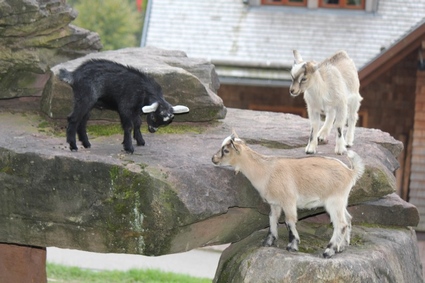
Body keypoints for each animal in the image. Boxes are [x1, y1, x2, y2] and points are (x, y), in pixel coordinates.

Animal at [58, 58, 189, 154]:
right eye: (153, 117)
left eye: (166, 122)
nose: (152, 130)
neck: (143, 90)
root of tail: (74, 75)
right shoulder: (125, 108)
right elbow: (129, 126)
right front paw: (129, 147)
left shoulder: (136, 110)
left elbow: (137, 123)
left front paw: (140, 140)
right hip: (85, 98)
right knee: (73, 119)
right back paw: (73, 146)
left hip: (89, 103)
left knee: (83, 121)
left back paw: (86, 144)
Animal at [210, 132, 362, 258]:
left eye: (226, 150)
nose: (213, 159)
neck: (266, 170)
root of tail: (350, 172)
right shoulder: (275, 203)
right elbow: (272, 218)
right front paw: (268, 242)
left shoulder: (288, 201)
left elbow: (289, 221)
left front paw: (292, 246)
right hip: (341, 201)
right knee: (348, 219)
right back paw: (341, 247)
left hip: (334, 201)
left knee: (341, 224)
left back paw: (329, 251)